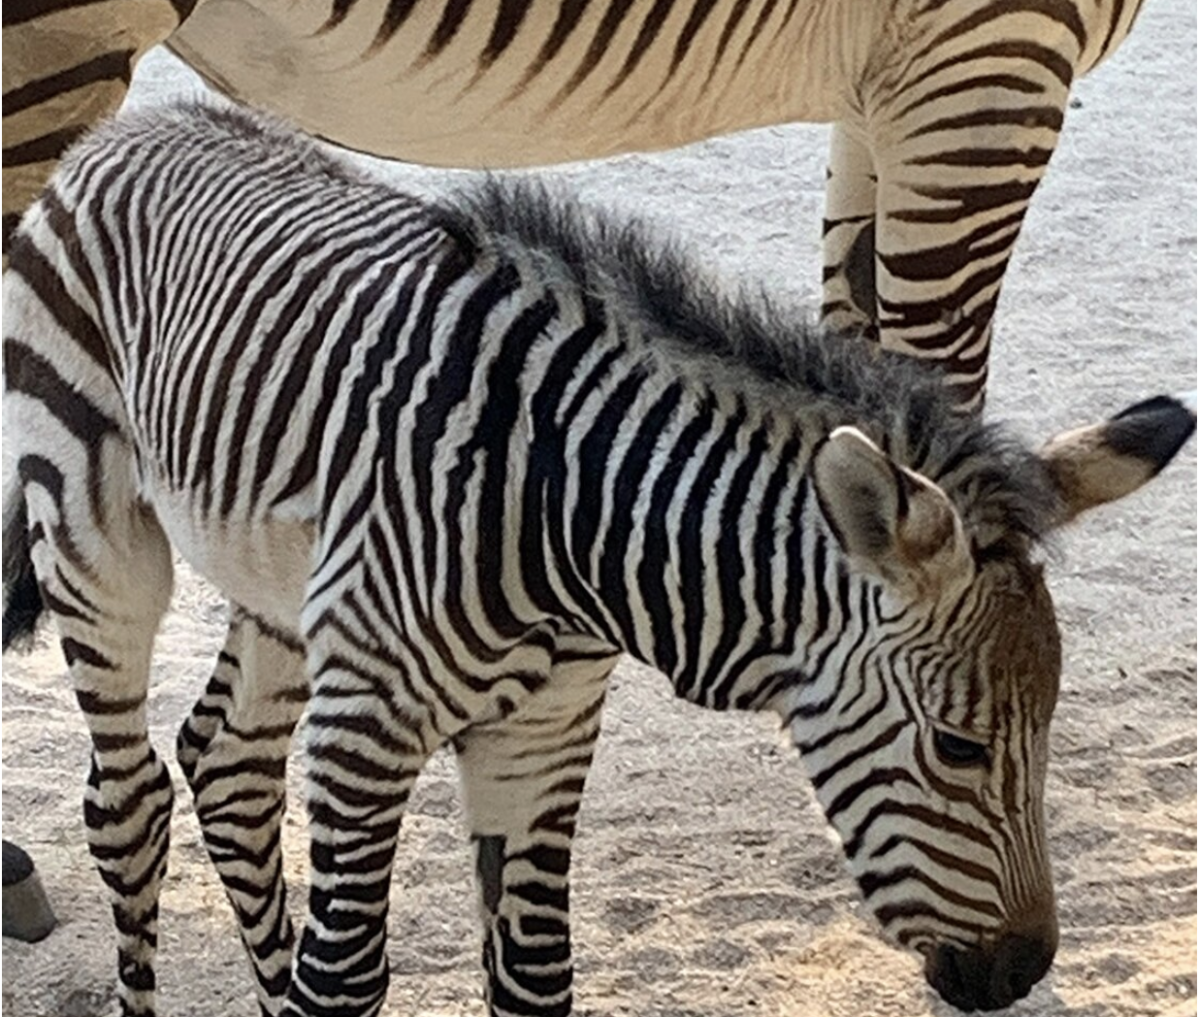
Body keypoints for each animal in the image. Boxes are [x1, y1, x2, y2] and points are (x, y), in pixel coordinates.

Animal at [4, 101, 1194, 1017]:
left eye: (1047, 730)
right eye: (956, 747)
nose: (1018, 973)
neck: (562, 518)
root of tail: (138, 123)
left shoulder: (547, 727)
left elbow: (533, 979)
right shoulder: (367, 727)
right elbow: (342, 977)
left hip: (279, 587)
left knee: (228, 766)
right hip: (93, 530)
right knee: (128, 801)